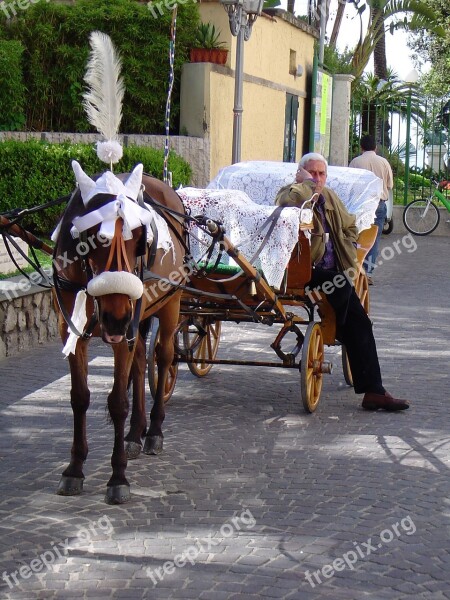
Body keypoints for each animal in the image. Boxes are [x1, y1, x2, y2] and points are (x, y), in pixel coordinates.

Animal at [52, 163, 186, 502]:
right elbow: (79, 397)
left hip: (170, 304)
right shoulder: (70, 330)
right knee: (139, 363)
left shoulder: (122, 332)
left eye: (139, 238)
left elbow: (117, 402)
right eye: (93, 239)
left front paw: (118, 477)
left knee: (164, 357)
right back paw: (135, 433)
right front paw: (75, 468)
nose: (116, 317)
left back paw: (153, 431)